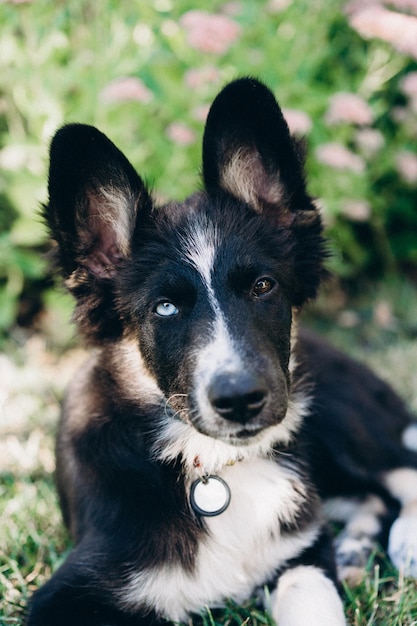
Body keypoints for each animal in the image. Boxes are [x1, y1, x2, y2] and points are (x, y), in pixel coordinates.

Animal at [26, 78, 416, 624]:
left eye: (263, 286)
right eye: (165, 307)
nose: (239, 400)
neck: (214, 467)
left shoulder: (300, 555)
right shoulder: (68, 593)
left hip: (338, 418)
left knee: (400, 471)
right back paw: (357, 550)